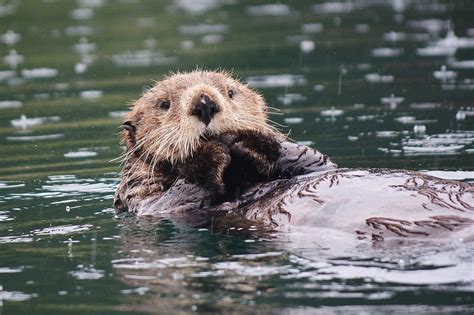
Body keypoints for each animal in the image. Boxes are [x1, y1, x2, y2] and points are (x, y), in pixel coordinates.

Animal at [115, 69, 474, 242]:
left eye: (230, 92)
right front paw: (211, 152)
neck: (239, 177)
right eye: (165, 104)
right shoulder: (145, 202)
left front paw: (248, 140)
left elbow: (310, 159)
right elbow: (174, 200)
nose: (205, 102)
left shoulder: (313, 165)